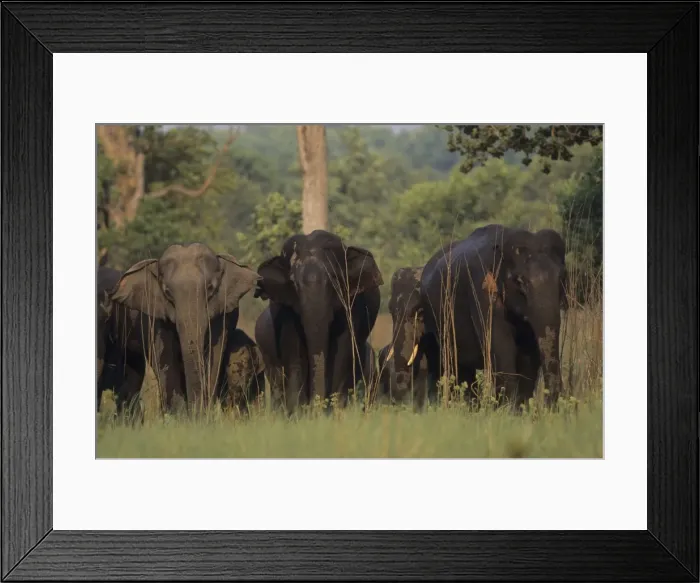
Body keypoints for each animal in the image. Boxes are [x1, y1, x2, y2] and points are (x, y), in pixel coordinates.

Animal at [108, 243, 261, 412]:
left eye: (210, 288)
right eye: (167, 292)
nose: (197, 411)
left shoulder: (221, 315)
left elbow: (215, 354)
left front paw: (205, 412)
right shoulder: (156, 316)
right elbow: (165, 356)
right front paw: (179, 415)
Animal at [253, 230, 383, 414]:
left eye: (335, 279)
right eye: (294, 283)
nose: (316, 409)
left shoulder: (352, 307)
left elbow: (343, 350)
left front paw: (333, 411)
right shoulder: (284, 310)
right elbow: (294, 354)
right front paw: (299, 413)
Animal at [393, 225, 568, 411]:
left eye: (562, 278)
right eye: (520, 281)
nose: (551, 408)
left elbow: (530, 354)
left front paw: (519, 411)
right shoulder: (482, 292)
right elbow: (501, 347)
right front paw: (507, 411)